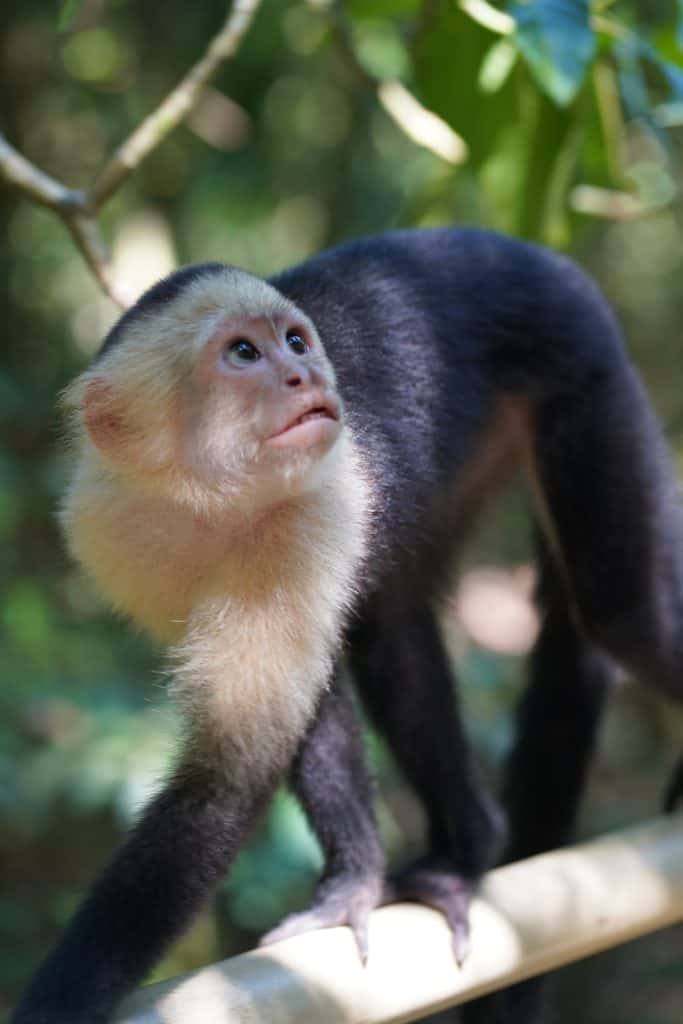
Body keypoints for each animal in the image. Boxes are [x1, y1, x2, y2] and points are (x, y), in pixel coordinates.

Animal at [12, 230, 683, 1024]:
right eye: (244, 353)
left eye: (297, 341)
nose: (303, 373)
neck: (207, 499)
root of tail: (523, 251)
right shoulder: (111, 535)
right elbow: (304, 712)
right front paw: (352, 886)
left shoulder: (314, 506)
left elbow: (226, 781)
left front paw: (58, 999)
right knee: (392, 630)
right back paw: (465, 852)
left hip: (583, 362)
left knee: (620, 612)